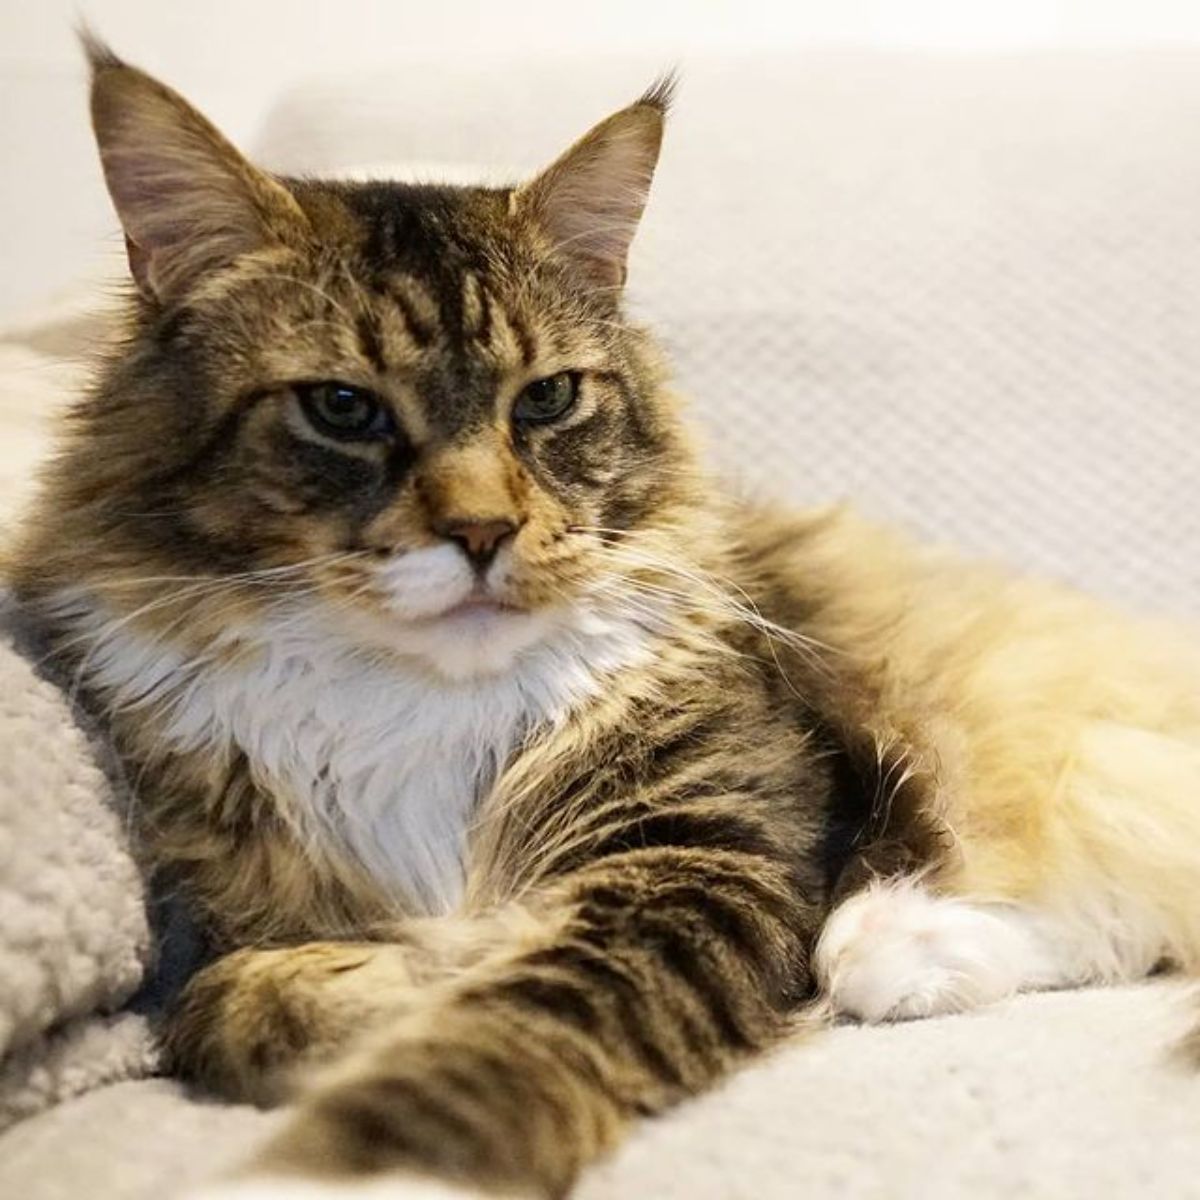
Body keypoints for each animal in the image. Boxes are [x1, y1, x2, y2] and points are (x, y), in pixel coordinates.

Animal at [9, 32, 1200, 1200]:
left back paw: (898, 944)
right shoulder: (226, 923)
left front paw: (374, 1159)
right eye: (342, 408)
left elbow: (497, 1048)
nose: (484, 531)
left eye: (544, 400)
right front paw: (412, 978)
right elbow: (221, 1011)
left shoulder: (707, 846)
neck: (411, 709)